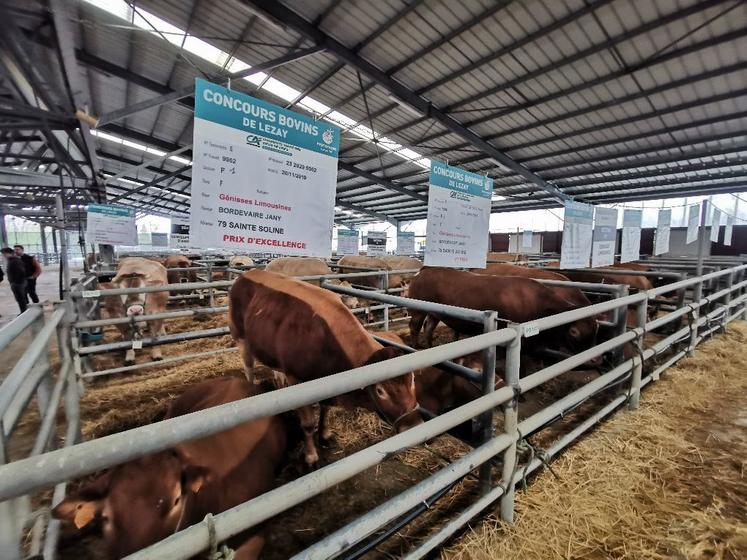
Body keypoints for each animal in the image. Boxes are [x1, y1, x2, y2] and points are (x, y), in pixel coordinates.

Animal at [228, 270, 424, 466]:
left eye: (413, 380)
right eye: (380, 390)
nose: (413, 425)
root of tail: (247, 274)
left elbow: (325, 408)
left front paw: (325, 435)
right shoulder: (296, 379)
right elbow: (308, 424)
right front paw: (311, 456)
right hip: (240, 338)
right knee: (248, 368)